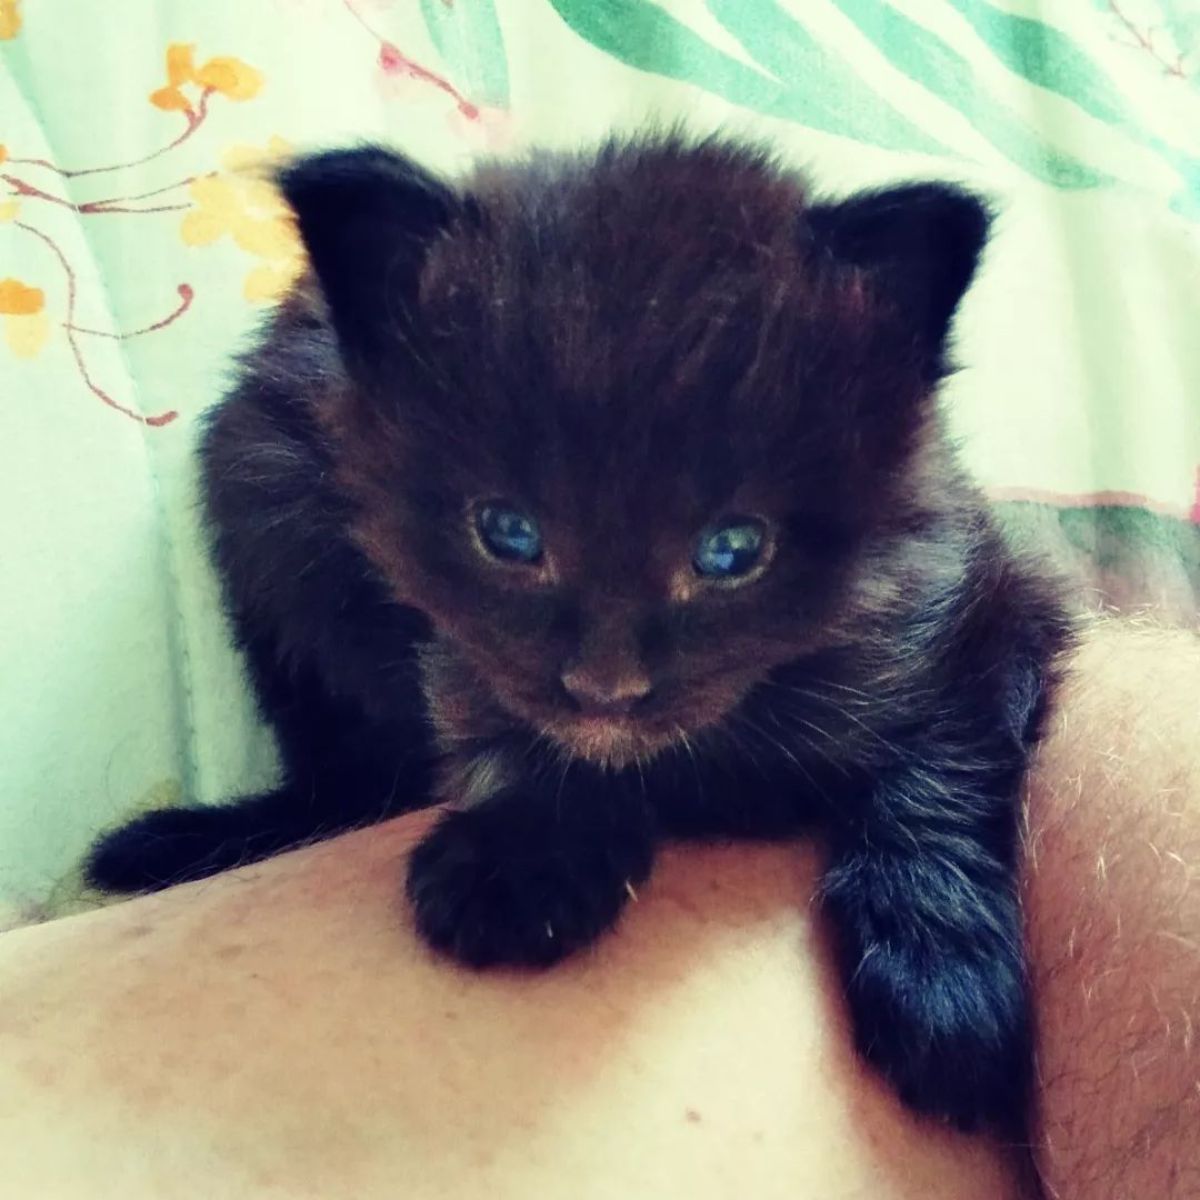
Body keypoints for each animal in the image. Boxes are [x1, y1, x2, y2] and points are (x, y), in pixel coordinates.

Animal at [88, 138, 1075, 1132]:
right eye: (508, 534)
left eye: (732, 549)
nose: (606, 688)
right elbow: (491, 705)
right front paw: (528, 854)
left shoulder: (985, 593)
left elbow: (938, 771)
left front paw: (945, 982)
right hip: (273, 521)